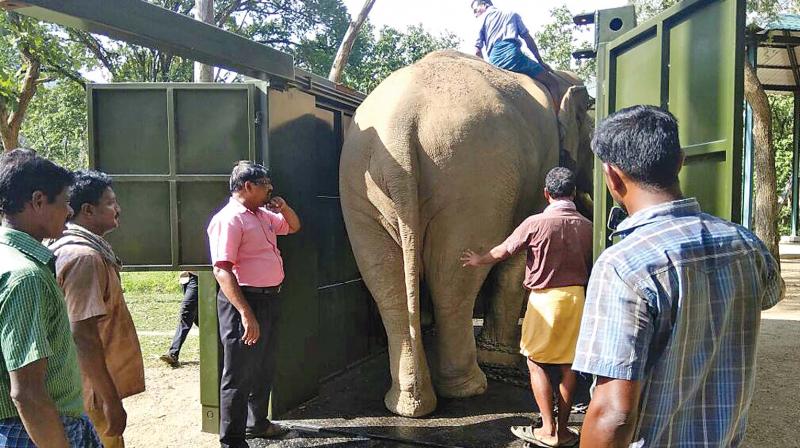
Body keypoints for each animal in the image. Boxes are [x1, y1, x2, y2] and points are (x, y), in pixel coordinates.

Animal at [338, 49, 592, 416]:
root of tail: (402, 123)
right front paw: (500, 358)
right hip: (473, 178)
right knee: (453, 276)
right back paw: (470, 387)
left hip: (361, 179)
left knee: (385, 280)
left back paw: (408, 404)